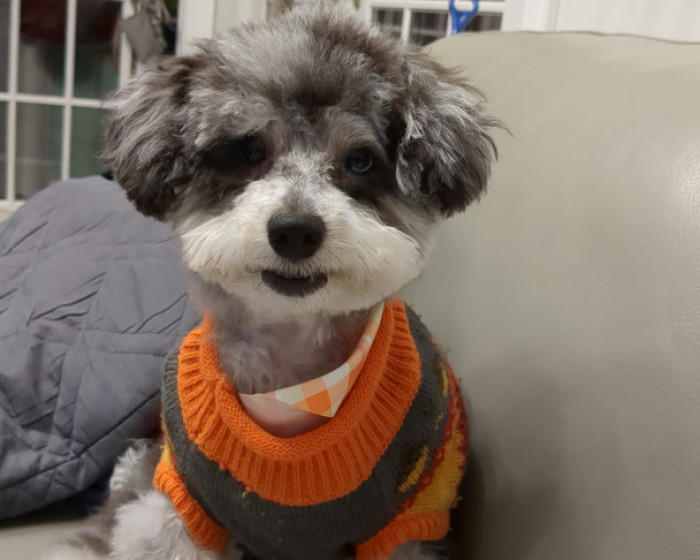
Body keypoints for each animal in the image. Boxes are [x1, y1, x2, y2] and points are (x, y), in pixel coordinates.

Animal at [48, 5, 497, 560]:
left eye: (360, 159)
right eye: (248, 149)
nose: (295, 231)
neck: (295, 382)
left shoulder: (411, 520)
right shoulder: (177, 500)